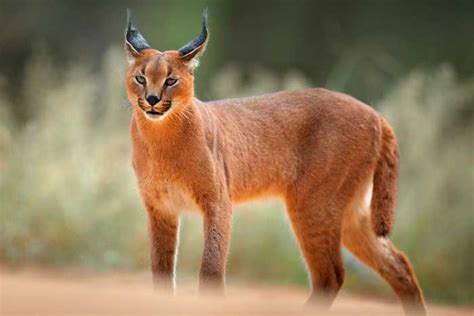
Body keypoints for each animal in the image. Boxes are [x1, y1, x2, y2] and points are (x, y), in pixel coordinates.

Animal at [124, 8, 428, 314]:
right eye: (140, 78)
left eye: (171, 80)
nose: (152, 99)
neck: (160, 138)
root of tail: (373, 111)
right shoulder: (160, 208)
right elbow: (160, 271)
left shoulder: (217, 201)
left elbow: (211, 267)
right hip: (350, 211)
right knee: (398, 263)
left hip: (313, 202)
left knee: (331, 274)